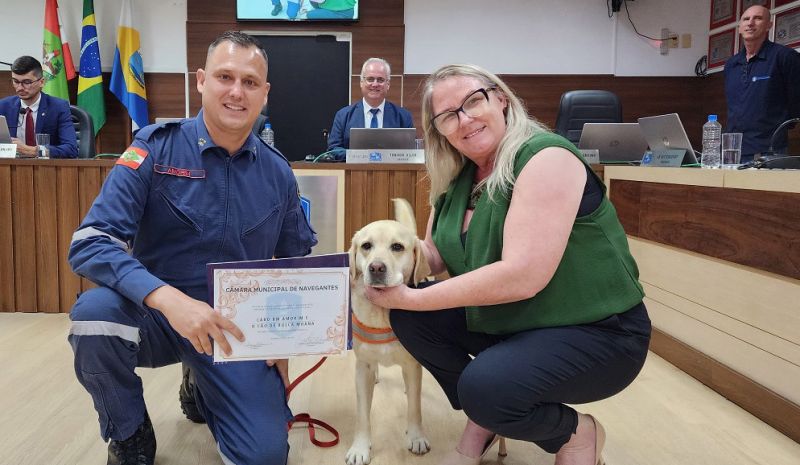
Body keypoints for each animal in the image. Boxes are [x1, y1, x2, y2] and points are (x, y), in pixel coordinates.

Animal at [344, 198, 432, 464]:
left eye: (397, 247)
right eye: (366, 246)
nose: (376, 267)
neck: (382, 315)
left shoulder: (412, 365)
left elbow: (414, 407)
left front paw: (416, 437)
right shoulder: (362, 367)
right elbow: (362, 415)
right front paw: (360, 448)